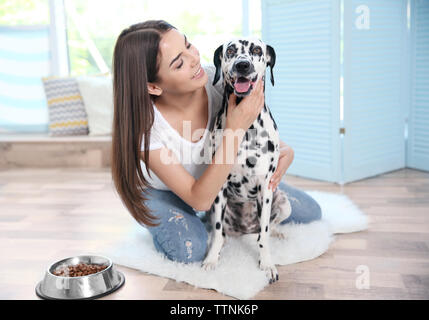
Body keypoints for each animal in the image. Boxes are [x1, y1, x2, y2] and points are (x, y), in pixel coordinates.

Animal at [201, 37, 290, 282]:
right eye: (231, 50)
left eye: (257, 50)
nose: (242, 65)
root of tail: (244, 231)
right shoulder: (218, 189)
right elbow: (218, 230)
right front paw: (212, 259)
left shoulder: (265, 188)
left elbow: (265, 234)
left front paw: (267, 264)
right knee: (221, 231)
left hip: (284, 203)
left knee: (266, 228)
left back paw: (276, 233)